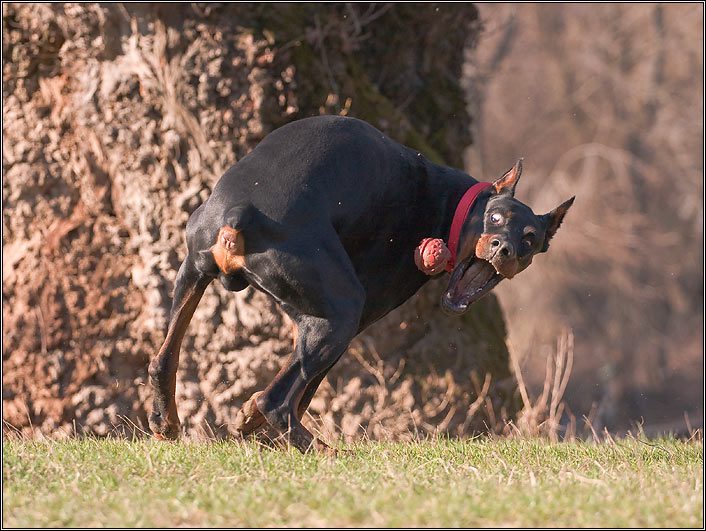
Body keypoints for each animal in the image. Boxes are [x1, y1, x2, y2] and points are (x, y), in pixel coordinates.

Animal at [148, 116, 572, 454]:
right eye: (496, 218)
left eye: (530, 239)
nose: (504, 248)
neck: (449, 203)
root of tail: (242, 212)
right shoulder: (359, 315)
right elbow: (304, 392)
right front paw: (251, 421)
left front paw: (247, 419)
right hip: (341, 314)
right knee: (278, 401)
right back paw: (324, 451)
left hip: (193, 270)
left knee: (163, 359)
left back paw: (166, 423)